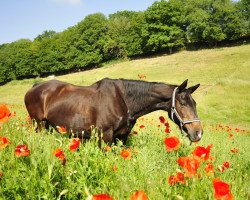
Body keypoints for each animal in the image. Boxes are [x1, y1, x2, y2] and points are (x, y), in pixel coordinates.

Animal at [23, 78, 203, 145]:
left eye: (194, 103)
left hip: (48, 125)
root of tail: (34, 87)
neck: (124, 100)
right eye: (182, 103)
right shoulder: (105, 136)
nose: (198, 133)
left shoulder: (122, 136)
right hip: (38, 124)